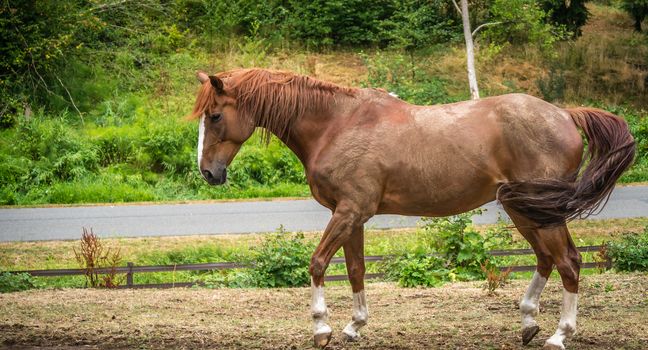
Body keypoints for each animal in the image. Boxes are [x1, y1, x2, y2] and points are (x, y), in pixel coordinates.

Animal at [190, 67, 636, 348]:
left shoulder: (349, 212)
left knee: (569, 262)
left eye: (215, 116)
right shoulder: (351, 216)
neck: (338, 124)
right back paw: (528, 322)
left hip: (542, 212)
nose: (208, 173)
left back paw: (560, 335)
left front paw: (322, 328)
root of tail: (565, 114)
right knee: (547, 259)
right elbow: (356, 269)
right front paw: (354, 326)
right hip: (522, 209)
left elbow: (317, 264)